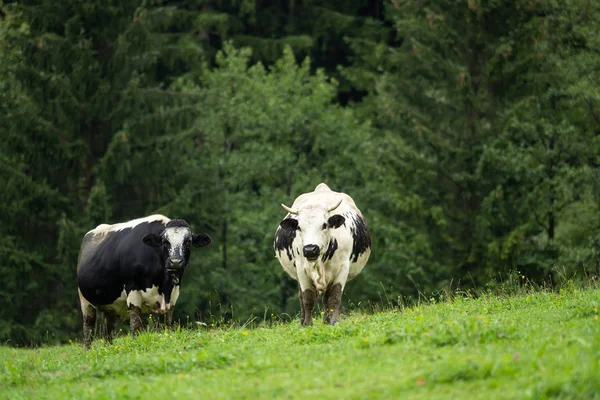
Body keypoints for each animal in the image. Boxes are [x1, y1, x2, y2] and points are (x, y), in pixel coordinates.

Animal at [77, 214, 211, 348]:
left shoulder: (172, 296)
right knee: (88, 329)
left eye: (188, 242)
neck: (163, 285)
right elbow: (136, 328)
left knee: (108, 331)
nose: (176, 261)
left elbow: (166, 326)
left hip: (111, 304)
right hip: (85, 300)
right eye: (165, 242)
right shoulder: (133, 291)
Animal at [276, 184, 370, 324]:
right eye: (299, 227)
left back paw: (326, 321)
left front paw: (334, 323)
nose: (310, 249)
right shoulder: (301, 269)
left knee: (327, 299)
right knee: (302, 297)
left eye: (324, 225)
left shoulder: (343, 267)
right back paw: (303, 321)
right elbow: (308, 298)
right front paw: (307, 324)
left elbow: (335, 297)